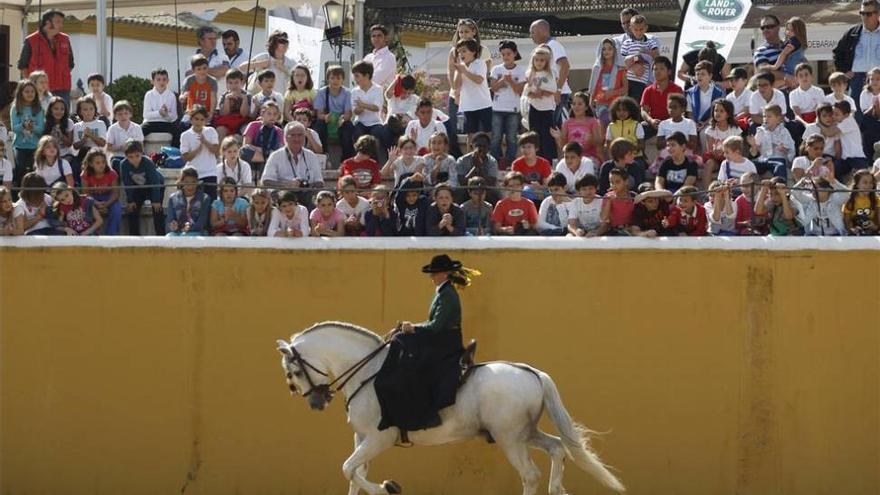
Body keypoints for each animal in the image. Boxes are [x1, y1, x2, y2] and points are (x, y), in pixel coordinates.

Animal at [276, 322, 624, 495]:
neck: (369, 371)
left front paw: (388, 488)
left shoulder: (378, 438)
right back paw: (558, 489)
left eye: (294, 372)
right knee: (557, 449)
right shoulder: (362, 438)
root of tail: (532, 372)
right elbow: (353, 475)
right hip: (526, 433)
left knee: (530, 474)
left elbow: (348, 469)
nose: (316, 401)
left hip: (511, 438)